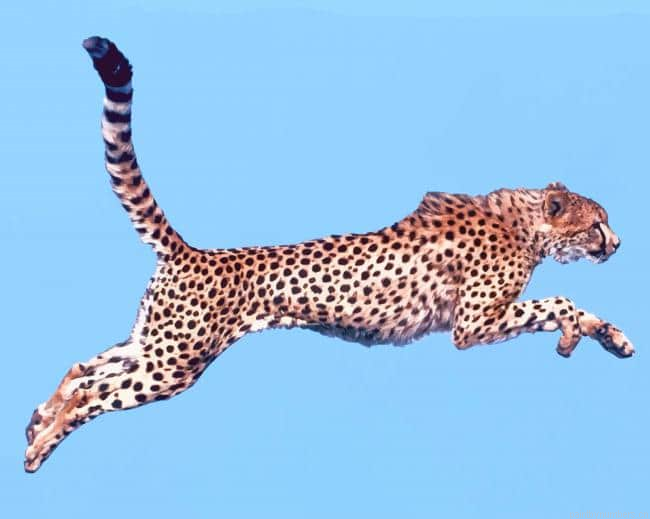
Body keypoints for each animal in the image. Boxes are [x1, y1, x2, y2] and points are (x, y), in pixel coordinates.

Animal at [24, 36, 634, 473]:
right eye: (597, 224)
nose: (618, 243)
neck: (525, 222)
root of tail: (191, 251)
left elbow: (572, 308)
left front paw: (610, 338)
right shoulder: (474, 323)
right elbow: (559, 300)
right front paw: (580, 330)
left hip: (157, 345)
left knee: (84, 368)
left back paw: (37, 422)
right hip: (173, 362)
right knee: (94, 390)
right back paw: (42, 442)